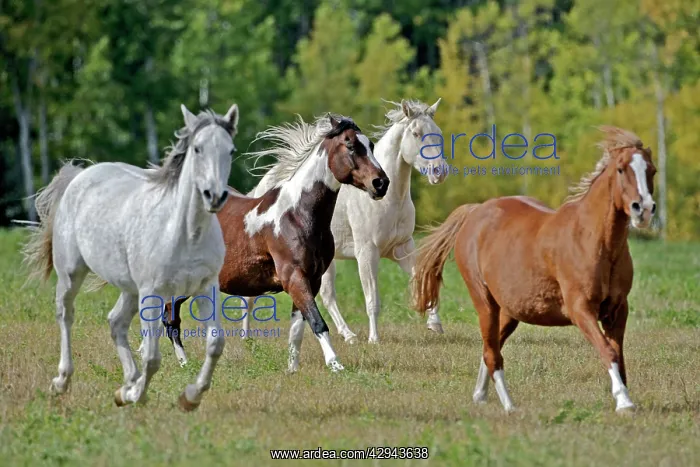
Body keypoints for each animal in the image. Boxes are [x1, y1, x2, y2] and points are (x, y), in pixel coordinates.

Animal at [20, 103, 239, 411]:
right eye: (197, 149)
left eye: (230, 150)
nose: (214, 196)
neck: (185, 233)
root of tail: (79, 177)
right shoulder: (152, 292)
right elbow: (152, 356)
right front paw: (138, 395)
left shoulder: (206, 288)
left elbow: (215, 344)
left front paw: (190, 397)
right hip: (72, 274)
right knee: (66, 314)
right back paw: (62, 382)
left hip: (130, 289)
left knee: (116, 322)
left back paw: (127, 383)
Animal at [162, 114, 389, 370]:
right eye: (350, 145)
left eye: (370, 145)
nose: (381, 183)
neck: (297, 215)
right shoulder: (294, 277)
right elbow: (317, 322)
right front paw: (335, 364)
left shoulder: (312, 280)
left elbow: (298, 328)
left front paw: (292, 368)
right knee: (169, 319)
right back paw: (183, 363)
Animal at [241, 99, 448, 344]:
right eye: (416, 134)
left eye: (438, 133)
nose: (439, 172)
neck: (389, 202)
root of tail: (261, 189)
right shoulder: (367, 253)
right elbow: (372, 299)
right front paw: (374, 339)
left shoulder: (402, 248)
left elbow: (420, 276)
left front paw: (435, 324)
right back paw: (246, 337)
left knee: (327, 296)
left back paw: (348, 334)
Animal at [411, 126, 656, 413]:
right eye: (620, 169)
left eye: (652, 170)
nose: (644, 209)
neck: (594, 241)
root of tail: (475, 212)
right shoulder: (580, 308)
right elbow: (608, 351)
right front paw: (625, 403)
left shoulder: (617, 310)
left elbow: (619, 356)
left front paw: (624, 398)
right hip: (484, 302)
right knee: (493, 355)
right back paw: (509, 406)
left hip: (509, 311)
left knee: (490, 348)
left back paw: (480, 396)